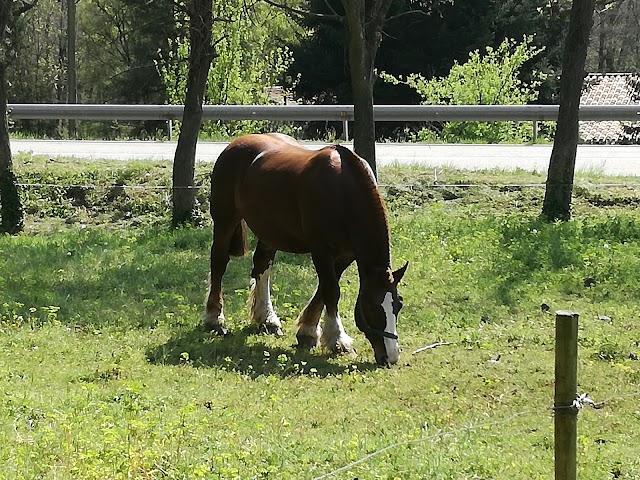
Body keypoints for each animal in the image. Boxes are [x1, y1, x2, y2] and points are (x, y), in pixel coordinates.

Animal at [204, 133, 404, 366]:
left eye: (398, 305)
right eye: (372, 307)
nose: (391, 356)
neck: (343, 191)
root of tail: (234, 145)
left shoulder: (346, 255)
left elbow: (324, 290)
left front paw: (308, 332)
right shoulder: (321, 251)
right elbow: (331, 292)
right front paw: (338, 340)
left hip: (269, 232)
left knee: (262, 267)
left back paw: (268, 319)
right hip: (225, 220)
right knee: (218, 264)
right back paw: (215, 319)